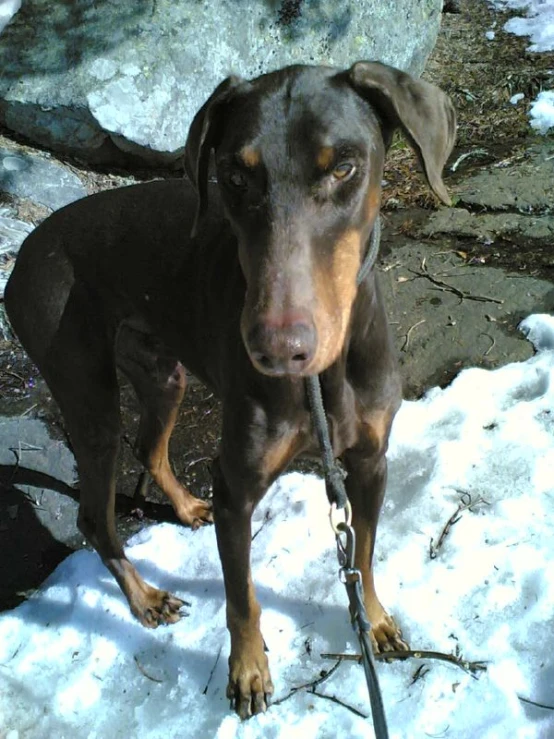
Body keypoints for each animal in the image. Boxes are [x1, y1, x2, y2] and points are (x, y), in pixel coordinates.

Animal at [4, 60, 452, 720]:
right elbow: (241, 595)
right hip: (86, 394)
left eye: (343, 167)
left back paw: (187, 507)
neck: (320, 384)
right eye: (234, 176)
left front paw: (372, 620)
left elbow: (364, 555)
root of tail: (23, 254)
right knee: (94, 515)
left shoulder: (370, 461)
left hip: (162, 373)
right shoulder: (238, 486)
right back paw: (144, 597)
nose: (277, 349)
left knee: (150, 448)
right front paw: (247, 671)